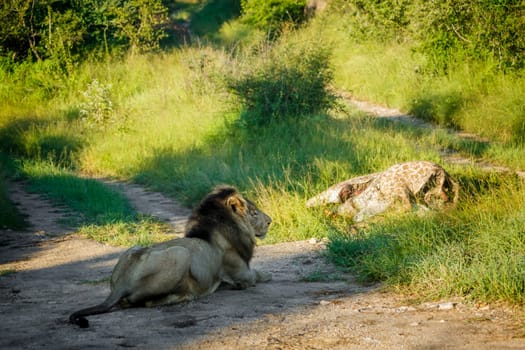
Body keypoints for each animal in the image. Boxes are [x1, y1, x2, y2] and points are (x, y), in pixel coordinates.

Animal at [69, 186, 272, 328]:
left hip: (134, 249)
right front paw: (266, 276)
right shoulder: (242, 273)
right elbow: (260, 274)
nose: (270, 221)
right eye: (254, 213)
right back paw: (185, 296)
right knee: (145, 302)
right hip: (180, 253)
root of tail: (121, 283)